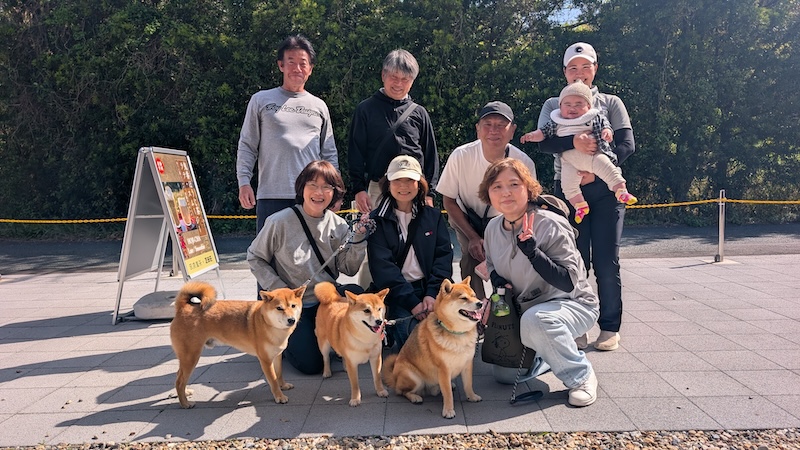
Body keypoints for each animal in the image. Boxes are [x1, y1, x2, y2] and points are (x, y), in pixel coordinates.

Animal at [169, 281, 304, 408]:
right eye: (279, 308)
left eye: (293, 306)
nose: (291, 320)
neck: (268, 324)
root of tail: (182, 308)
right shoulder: (265, 360)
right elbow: (273, 380)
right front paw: (279, 397)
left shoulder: (277, 355)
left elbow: (279, 374)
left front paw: (283, 385)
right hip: (191, 356)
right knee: (180, 381)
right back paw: (185, 403)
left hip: (187, 358)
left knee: (178, 376)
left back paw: (186, 392)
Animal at [382, 277, 483, 418]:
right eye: (463, 298)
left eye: (474, 296)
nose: (480, 303)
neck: (457, 333)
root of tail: (395, 378)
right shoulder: (443, 369)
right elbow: (448, 394)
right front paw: (448, 410)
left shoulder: (467, 363)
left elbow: (468, 384)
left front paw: (472, 397)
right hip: (414, 378)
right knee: (402, 391)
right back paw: (415, 397)